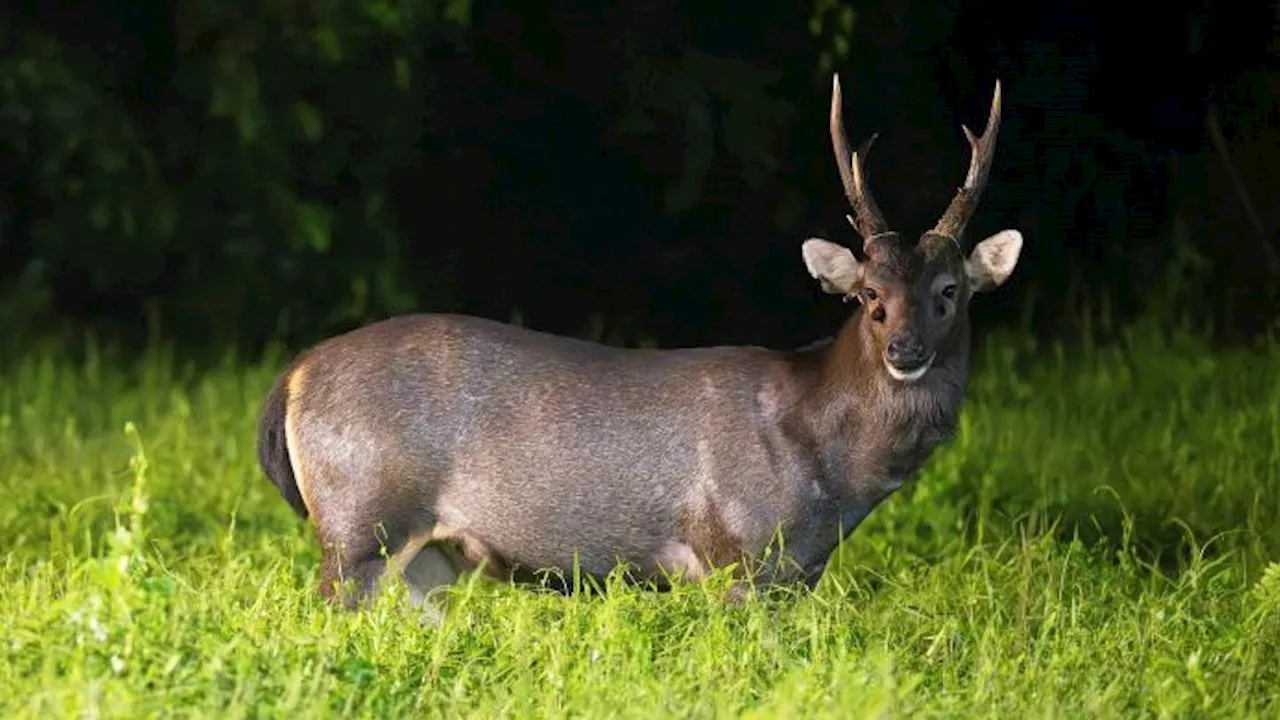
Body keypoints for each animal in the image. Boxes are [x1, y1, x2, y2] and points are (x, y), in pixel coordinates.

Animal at [257, 73, 1018, 609]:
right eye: (869, 297)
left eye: (950, 291)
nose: (906, 352)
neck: (830, 466)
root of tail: (293, 375)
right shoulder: (741, 554)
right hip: (361, 522)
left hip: (424, 557)